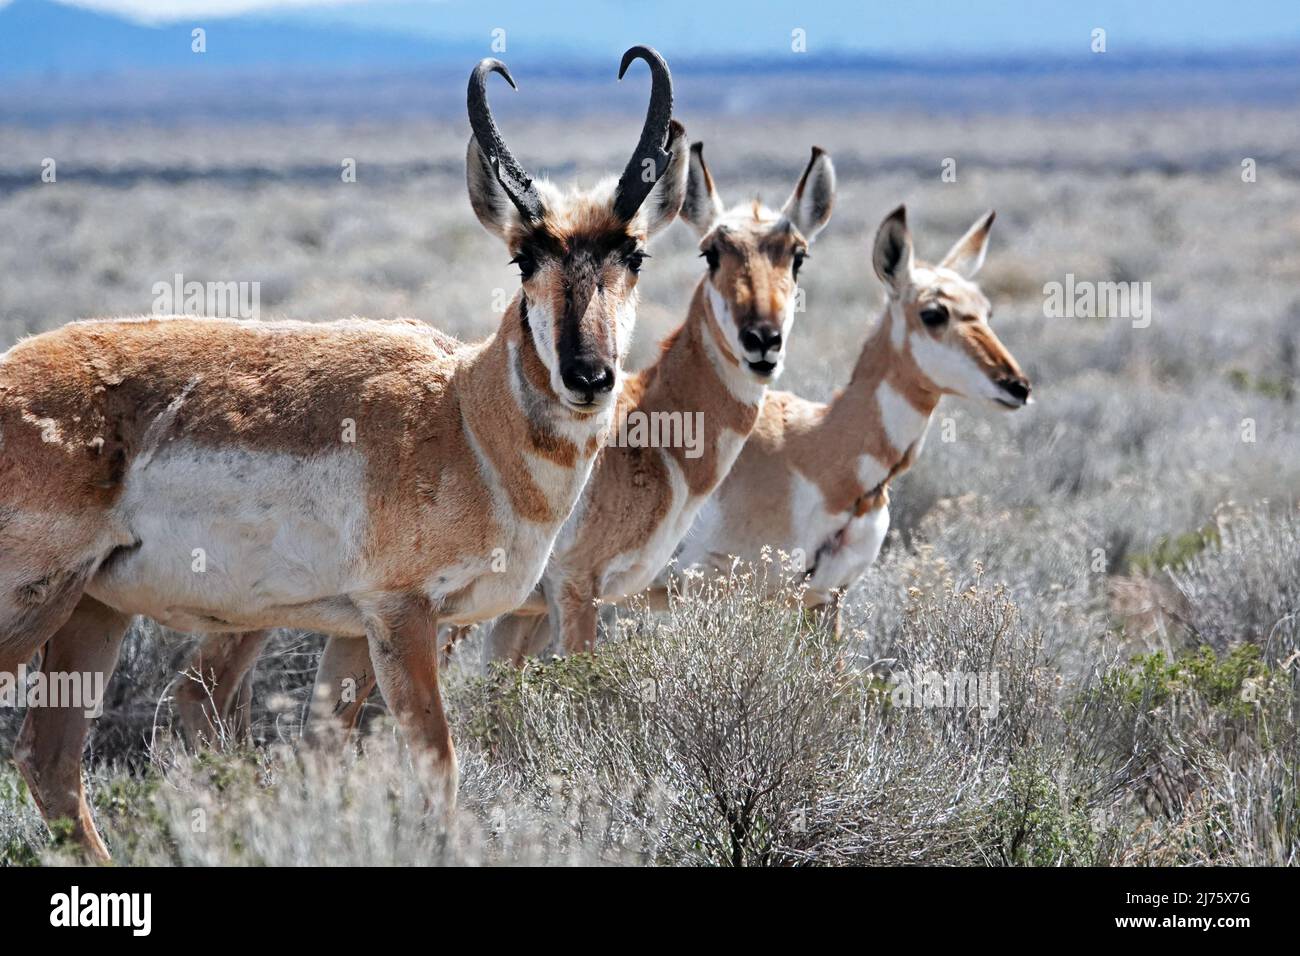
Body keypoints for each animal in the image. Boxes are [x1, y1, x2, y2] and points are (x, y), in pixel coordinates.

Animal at [0, 48, 691, 863]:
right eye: (525, 259)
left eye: (634, 253)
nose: (589, 376)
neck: (463, 412)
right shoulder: (402, 617)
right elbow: (438, 763)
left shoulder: (355, 633)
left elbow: (323, 755)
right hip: (37, 605)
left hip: (92, 611)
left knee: (50, 760)